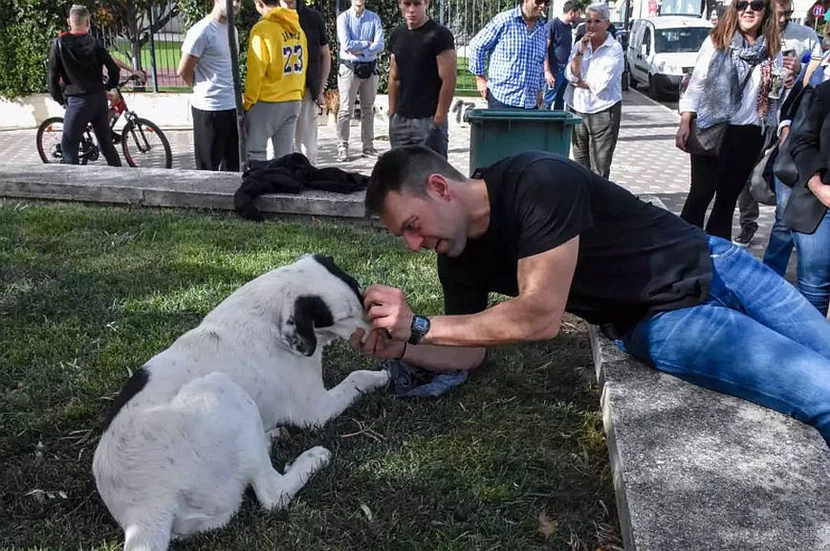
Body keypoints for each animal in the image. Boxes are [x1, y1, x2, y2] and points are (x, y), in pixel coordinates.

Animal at [92, 256, 392, 551]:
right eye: (345, 317)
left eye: (362, 297)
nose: (389, 336)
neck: (268, 314)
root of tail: (144, 512)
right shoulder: (315, 411)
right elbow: (356, 377)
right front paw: (381, 376)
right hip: (221, 388)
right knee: (273, 495)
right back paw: (313, 458)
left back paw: (273, 436)